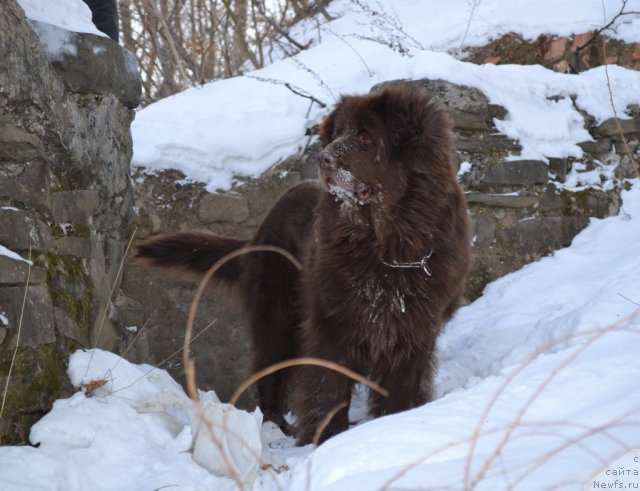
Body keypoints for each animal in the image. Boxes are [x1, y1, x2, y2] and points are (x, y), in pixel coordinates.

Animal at [134, 86, 470, 444]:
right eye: (338, 133)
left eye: (365, 136)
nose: (324, 158)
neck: (387, 244)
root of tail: (257, 232)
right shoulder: (332, 324)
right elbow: (328, 388)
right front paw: (327, 437)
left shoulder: (413, 332)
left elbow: (401, 391)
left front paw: (395, 425)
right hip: (276, 316)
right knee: (269, 372)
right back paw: (272, 425)